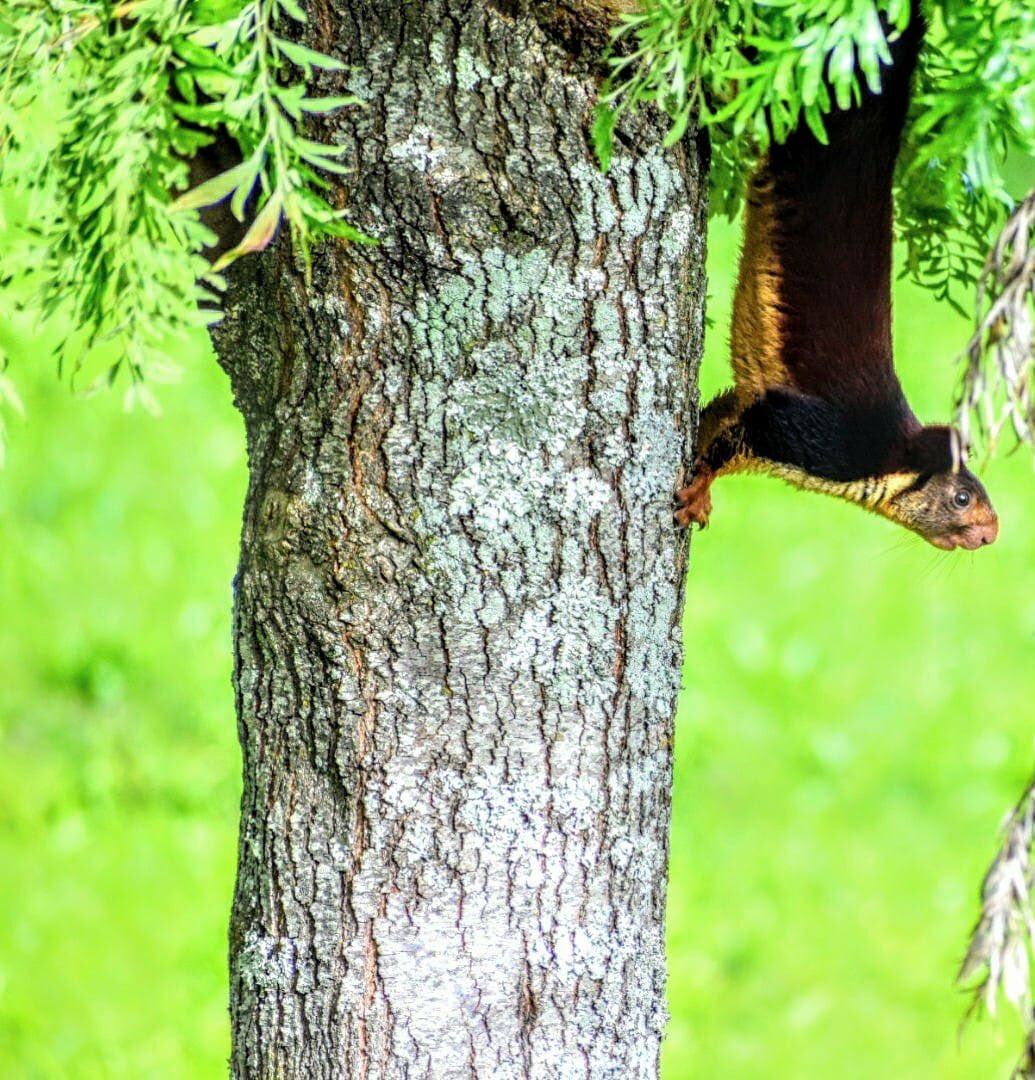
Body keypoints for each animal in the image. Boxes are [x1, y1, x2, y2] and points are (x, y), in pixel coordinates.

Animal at [674, 5, 999, 551]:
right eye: (962, 497)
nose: (992, 534)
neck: (885, 458)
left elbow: (718, 416)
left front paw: (700, 485)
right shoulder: (813, 434)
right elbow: (732, 440)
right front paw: (696, 488)